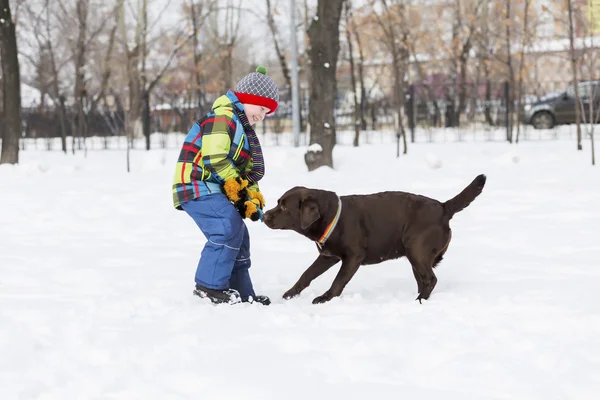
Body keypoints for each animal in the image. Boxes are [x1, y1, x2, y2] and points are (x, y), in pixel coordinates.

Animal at [264, 174, 488, 304]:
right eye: (278, 202)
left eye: (284, 207)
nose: (265, 215)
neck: (331, 216)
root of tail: (444, 207)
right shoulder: (328, 256)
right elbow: (306, 275)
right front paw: (290, 294)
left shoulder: (353, 257)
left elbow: (338, 281)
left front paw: (324, 298)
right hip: (415, 256)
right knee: (423, 280)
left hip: (416, 249)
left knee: (431, 279)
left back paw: (420, 301)